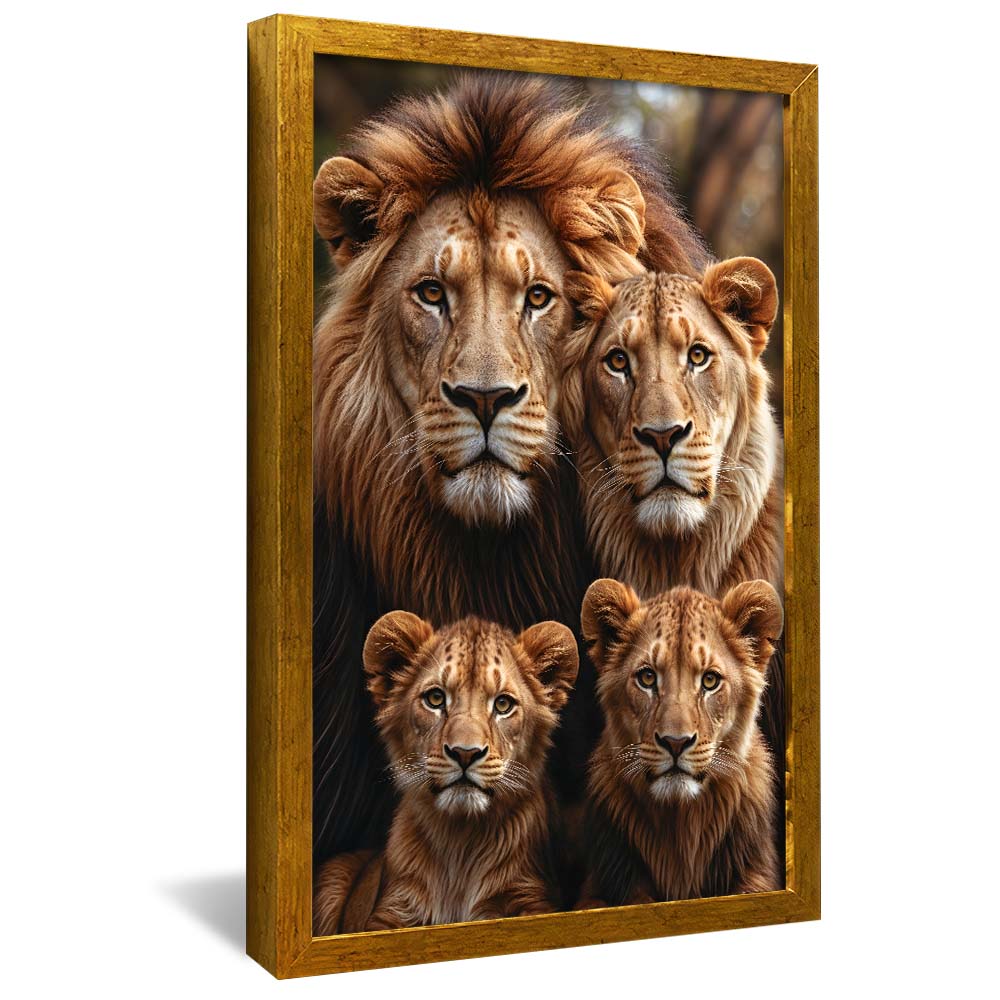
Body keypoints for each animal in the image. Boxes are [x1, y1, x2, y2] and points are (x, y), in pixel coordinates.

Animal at [313, 611, 579, 933]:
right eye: (436, 699)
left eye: (503, 704)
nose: (465, 753)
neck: (460, 842)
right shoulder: (392, 910)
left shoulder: (531, 898)